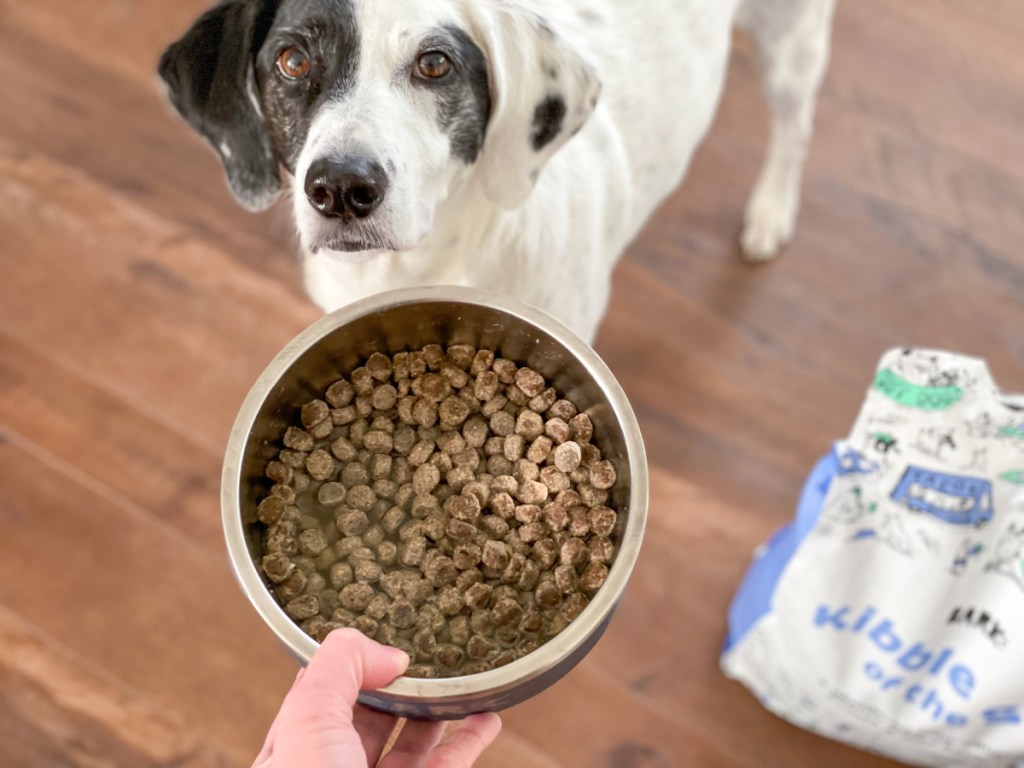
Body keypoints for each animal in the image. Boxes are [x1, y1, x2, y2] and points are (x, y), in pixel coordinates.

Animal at [157, 0, 831, 342]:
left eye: (434, 64)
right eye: (292, 60)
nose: (342, 188)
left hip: (790, 43)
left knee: (797, 124)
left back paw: (771, 211)